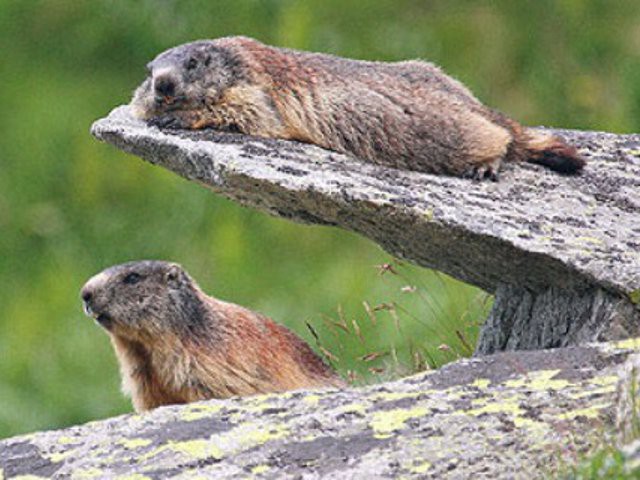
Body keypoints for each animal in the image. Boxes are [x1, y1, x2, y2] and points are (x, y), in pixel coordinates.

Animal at [131, 36, 585, 180]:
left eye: (193, 63)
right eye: (149, 71)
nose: (163, 84)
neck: (231, 60)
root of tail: (476, 104)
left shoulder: (256, 89)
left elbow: (251, 113)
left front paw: (179, 116)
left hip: (440, 130)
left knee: (498, 137)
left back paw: (488, 162)